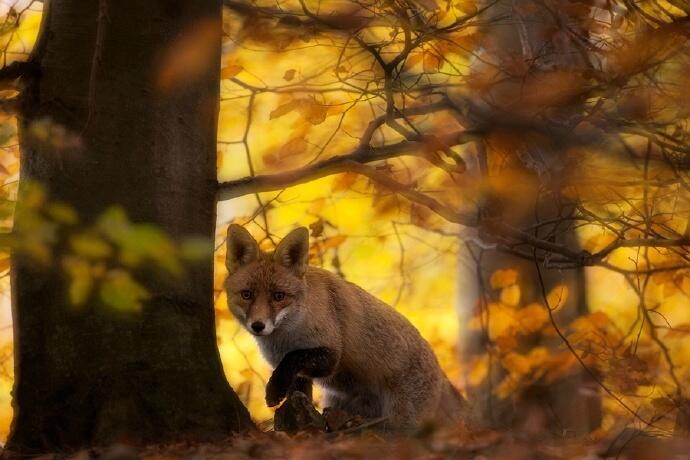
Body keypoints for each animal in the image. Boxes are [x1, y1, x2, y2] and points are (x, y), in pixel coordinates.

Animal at [223, 225, 464, 430]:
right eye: (247, 294)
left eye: (278, 296)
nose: (258, 325)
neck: (286, 338)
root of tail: (440, 371)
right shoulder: (299, 376)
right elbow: (297, 391)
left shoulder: (330, 354)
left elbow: (295, 357)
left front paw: (273, 391)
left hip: (402, 417)